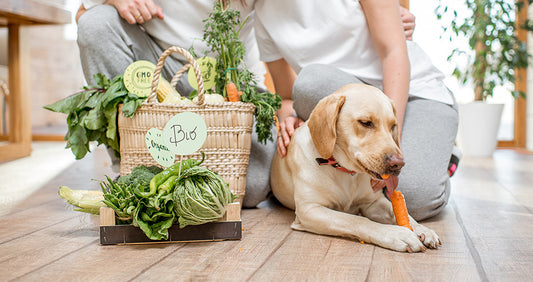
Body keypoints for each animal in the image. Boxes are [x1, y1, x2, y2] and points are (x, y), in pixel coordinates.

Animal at [272, 83, 438, 253]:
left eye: (393, 126)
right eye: (365, 122)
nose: (398, 163)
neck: (345, 172)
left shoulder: (373, 202)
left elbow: (399, 212)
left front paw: (422, 229)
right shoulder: (310, 210)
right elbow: (356, 220)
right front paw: (397, 234)